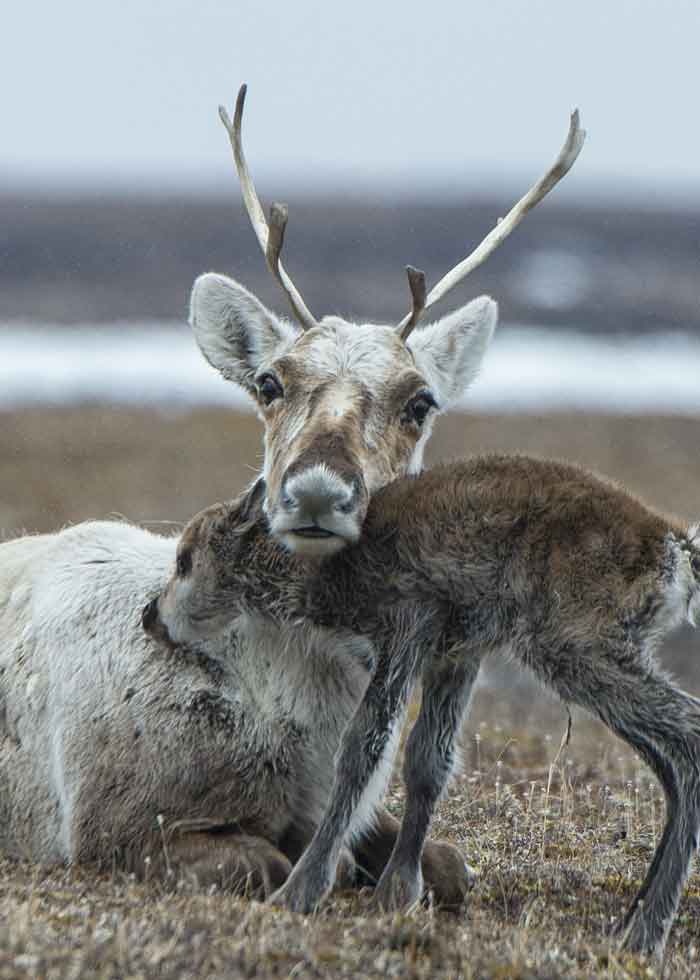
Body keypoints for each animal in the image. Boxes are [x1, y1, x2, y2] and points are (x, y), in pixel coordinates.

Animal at [148, 456, 700, 952]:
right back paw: (633, 920)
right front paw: (398, 891)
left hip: (577, 649)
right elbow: (427, 761)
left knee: (688, 735)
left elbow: (362, 751)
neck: (324, 566)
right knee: (670, 765)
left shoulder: (406, 630)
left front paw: (300, 891)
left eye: (185, 559)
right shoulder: (455, 655)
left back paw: (647, 933)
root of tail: (674, 547)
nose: (150, 616)